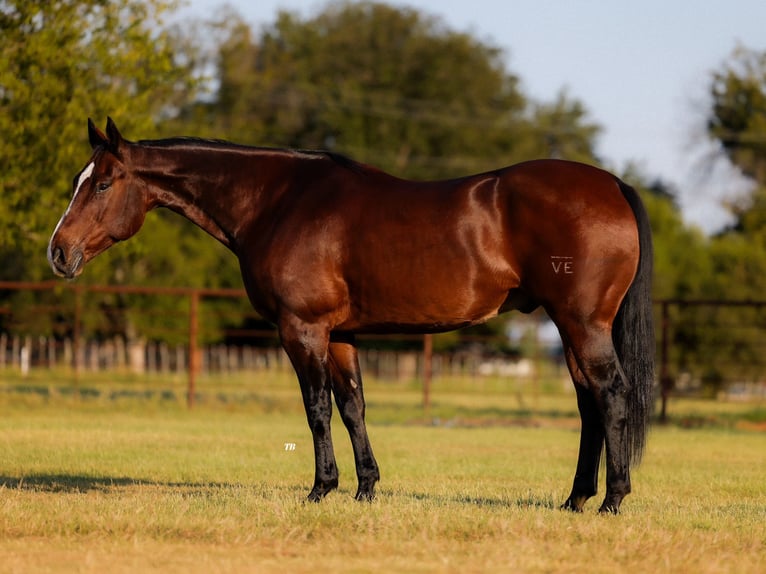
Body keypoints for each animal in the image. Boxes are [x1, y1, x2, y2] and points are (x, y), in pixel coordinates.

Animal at [46, 119, 656, 516]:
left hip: (581, 324)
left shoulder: (303, 329)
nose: (58, 252)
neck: (278, 201)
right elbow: (353, 406)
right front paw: (365, 489)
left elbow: (317, 410)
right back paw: (575, 499)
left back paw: (612, 500)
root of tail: (612, 183)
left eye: (102, 183)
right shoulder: (340, 334)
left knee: (612, 395)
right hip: (571, 327)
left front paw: (321, 489)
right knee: (589, 404)